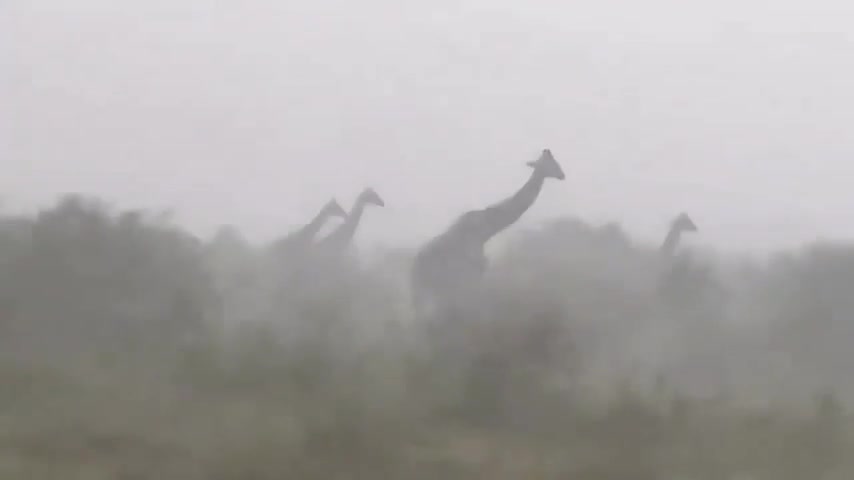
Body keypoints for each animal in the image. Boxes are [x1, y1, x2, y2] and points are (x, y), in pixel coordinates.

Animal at [410, 149, 565, 317]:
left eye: (555, 162)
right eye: (551, 163)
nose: (562, 175)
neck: (486, 230)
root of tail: (414, 266)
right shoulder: (472, 274)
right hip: (431, 288)